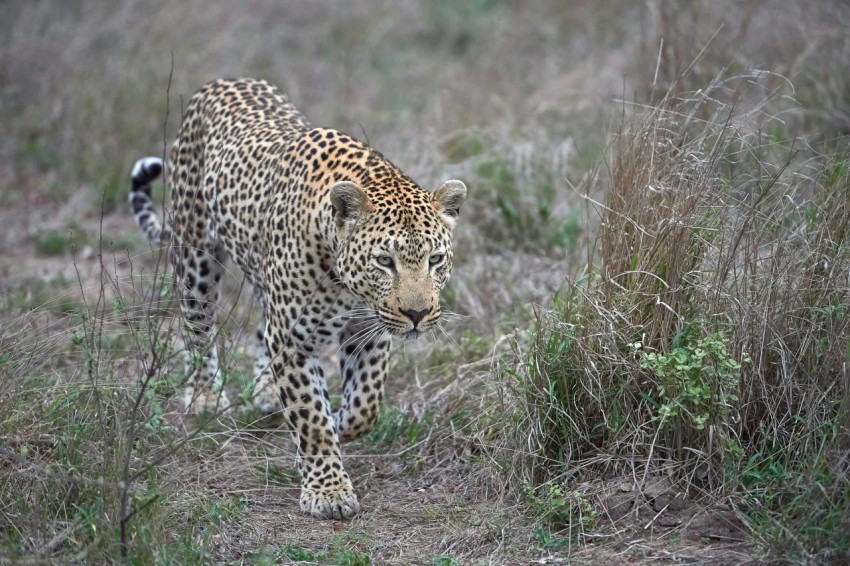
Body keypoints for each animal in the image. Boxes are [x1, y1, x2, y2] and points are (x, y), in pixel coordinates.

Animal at [129, 77, 466, 520]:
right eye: (384, 261)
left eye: (435, 259)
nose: (417, 313)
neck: (346, 283)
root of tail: (222, 81)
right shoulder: (292, 339)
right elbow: (310, 417)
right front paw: (328, 490)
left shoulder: (369, 332)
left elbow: (365, 407)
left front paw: (336, 423)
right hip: (196, 256)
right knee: (197, 325)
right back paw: (204, 395)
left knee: (259, 327)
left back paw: (266, 392)